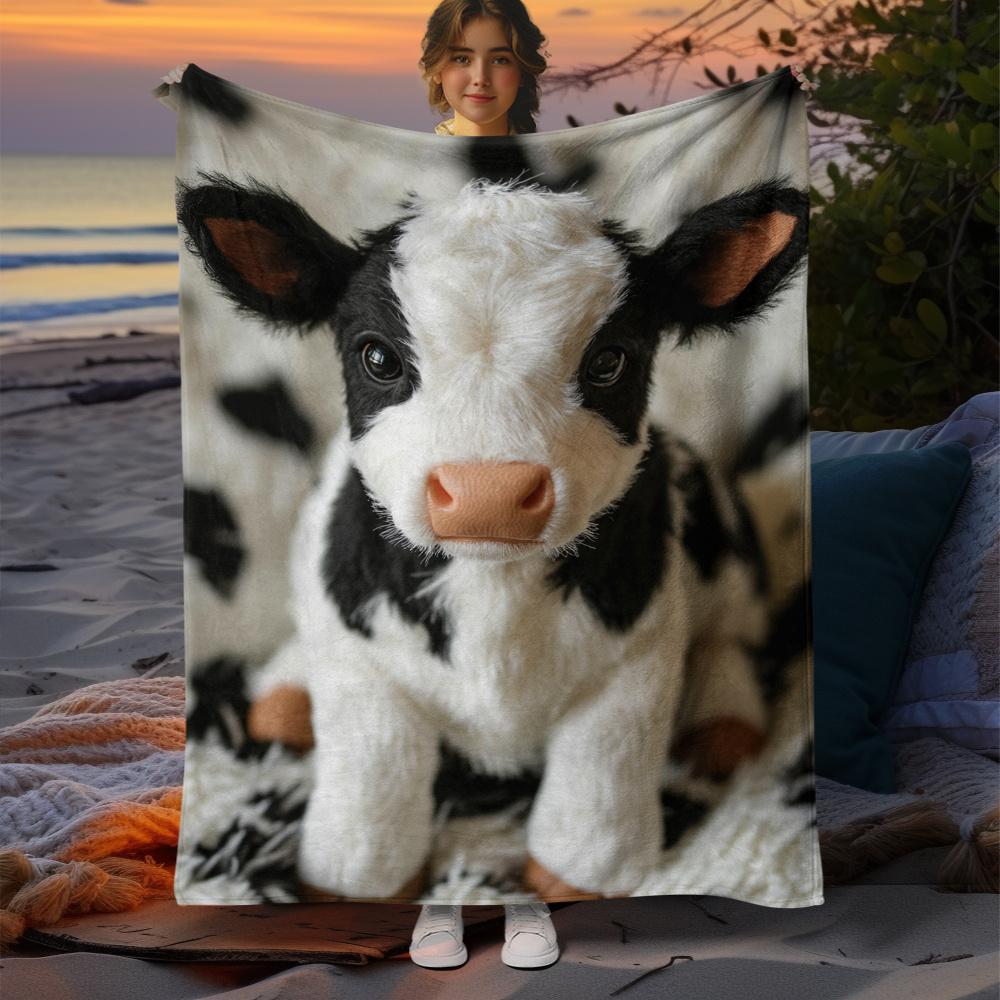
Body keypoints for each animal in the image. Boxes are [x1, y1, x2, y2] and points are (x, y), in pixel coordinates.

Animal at [176, 169, 808, 901]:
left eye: (609, 361)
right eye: (378, 357)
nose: (489, 493)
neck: (490, 584)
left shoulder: (633, 669)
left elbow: (597, 792)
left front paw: (578, 883)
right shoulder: (365, 671)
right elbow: (373, 790)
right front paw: (353, 886)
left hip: (724, 545)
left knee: (730, 630)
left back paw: (722, 723)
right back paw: (283, 698)